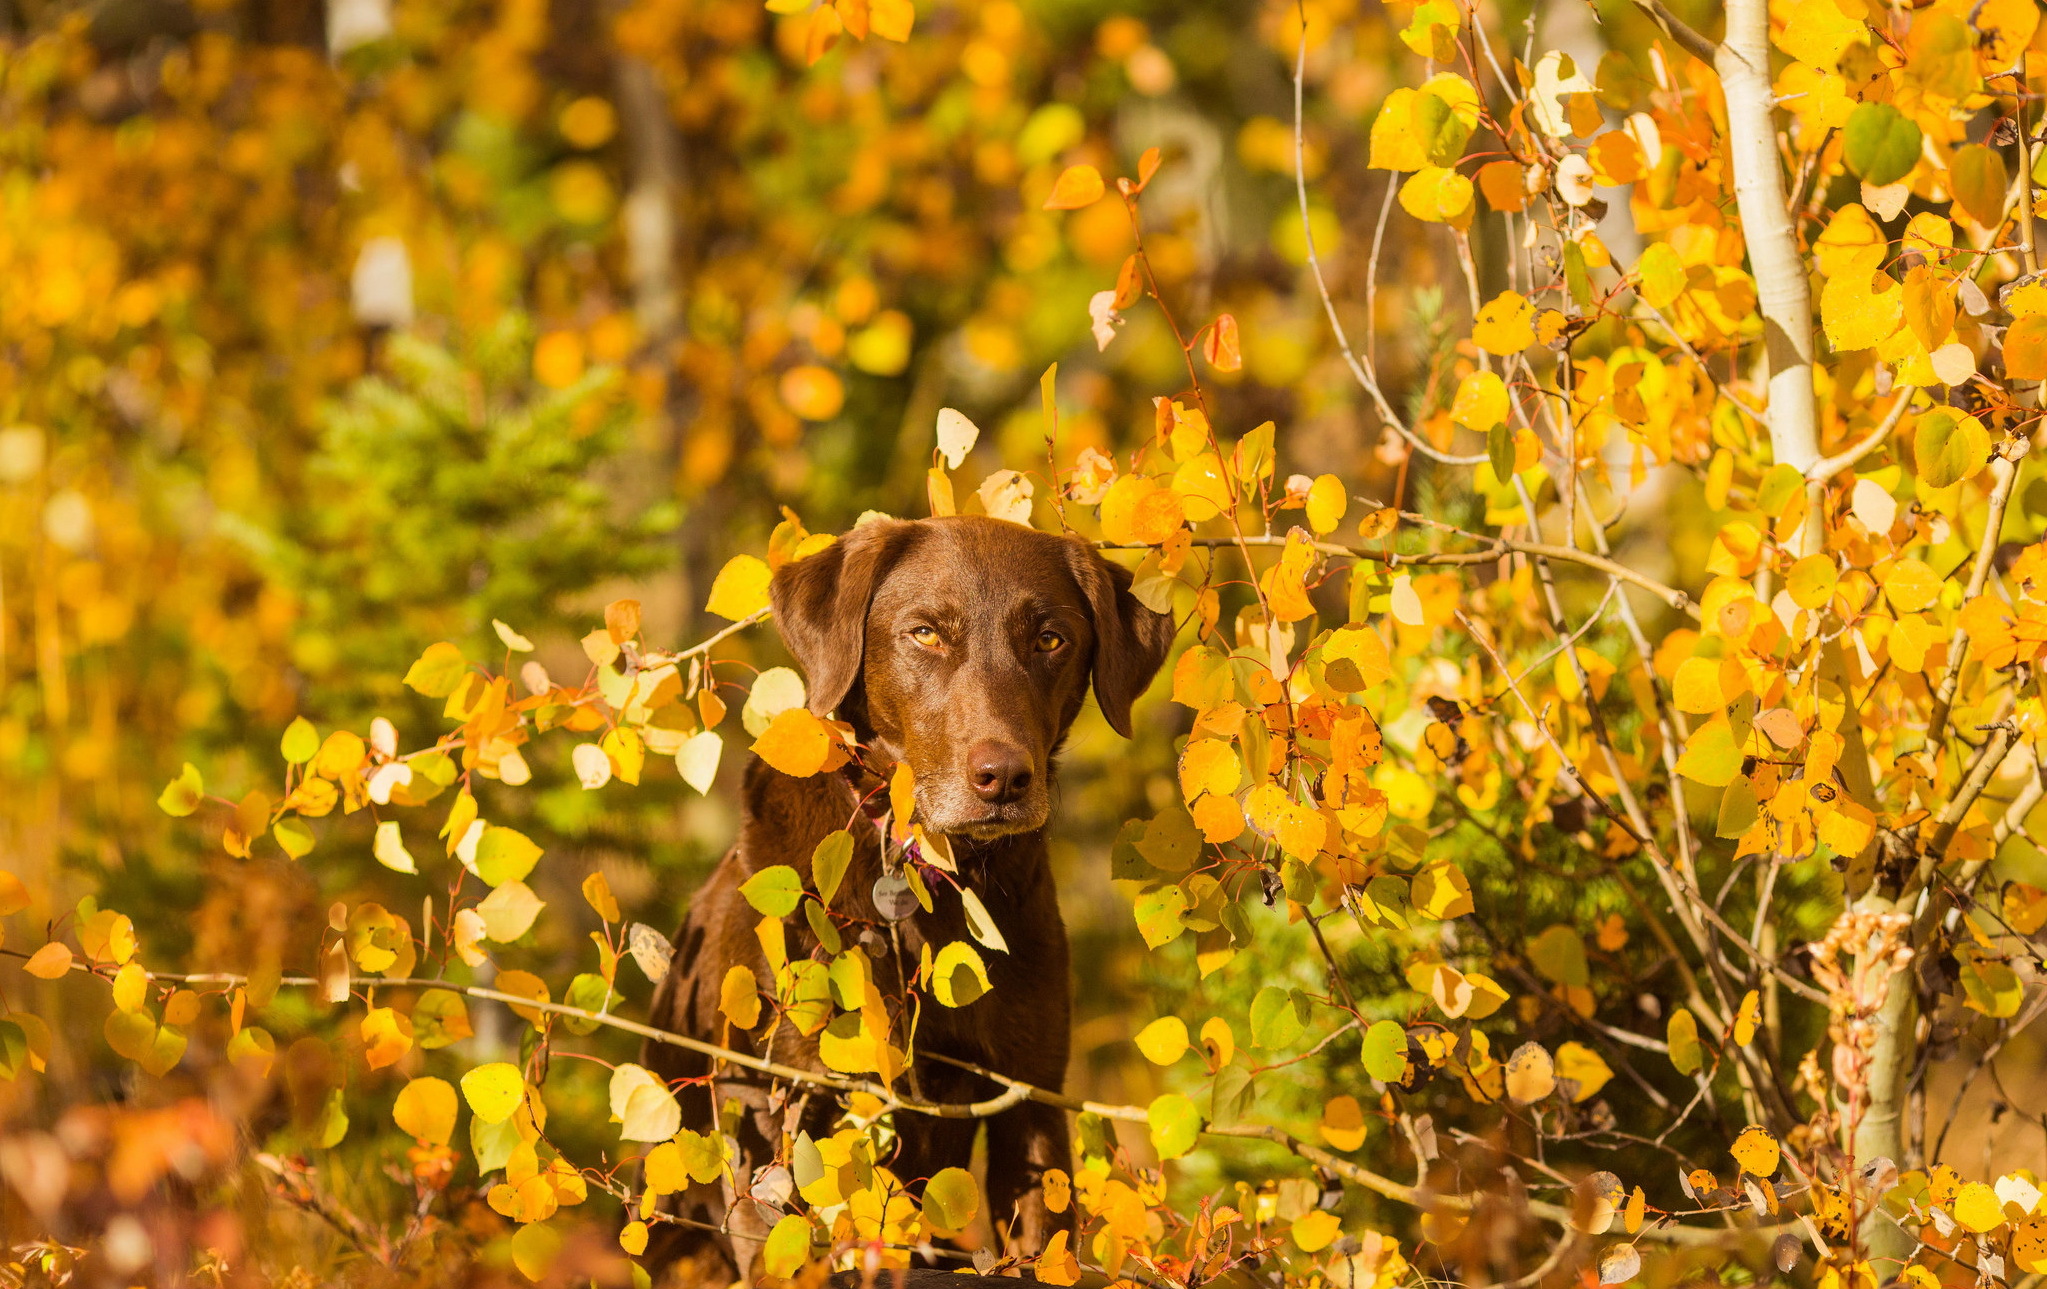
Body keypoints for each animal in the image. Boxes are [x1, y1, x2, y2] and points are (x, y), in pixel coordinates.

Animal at [646, 513, 1179, 1284]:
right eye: (924, 633)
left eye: (1050, 638)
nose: (1003, 778)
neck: (924, 886)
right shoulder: (776, 1112)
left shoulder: (1031, 1099)